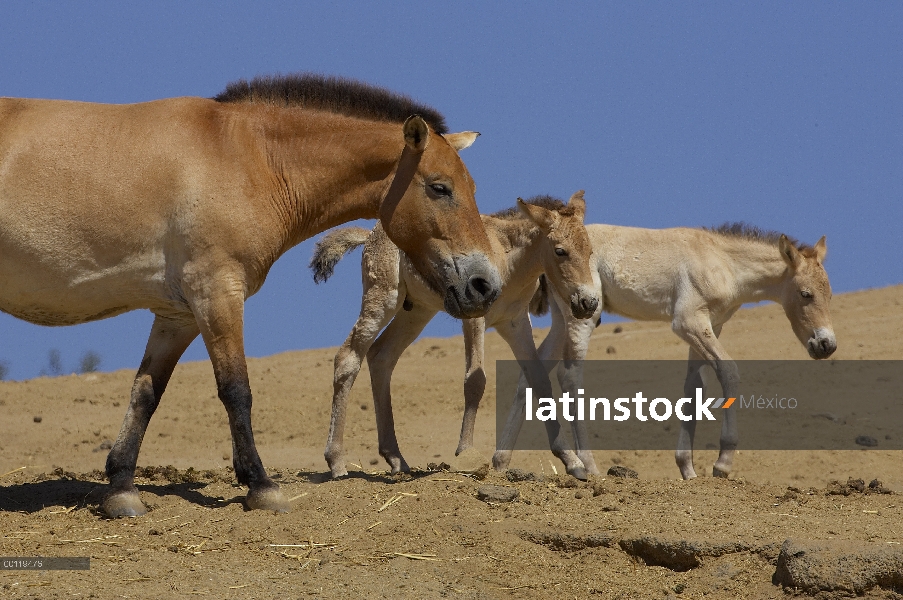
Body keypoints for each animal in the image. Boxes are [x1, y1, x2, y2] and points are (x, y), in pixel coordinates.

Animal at [0, 74, 502, 516]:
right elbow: (236, 390)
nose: (485, 284)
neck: (248, 157)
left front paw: (122, 490)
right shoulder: (217, 294)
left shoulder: (177, 315)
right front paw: (261, 486)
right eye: (440, 187)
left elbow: (145, 393)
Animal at [310, 195, 600, 480]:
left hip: (417, 311)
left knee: (382, 356)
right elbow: (475, 381)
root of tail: (372, 233)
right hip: (383, 298)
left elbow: (539, 381)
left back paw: (396, 458)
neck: (507, 261)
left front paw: (571, 461)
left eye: (590, 251)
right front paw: (466, 452)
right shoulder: (475, 319)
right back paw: (337, 462)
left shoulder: (515, 324)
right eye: (560, 251)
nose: (589, 303)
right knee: (348, 357)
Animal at [498, 223, 836, 480]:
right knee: (569, 377)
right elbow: (729, 371)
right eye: (805, 294)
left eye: (830, 294)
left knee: (531, 375)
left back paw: (502, 462)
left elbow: (694, 388)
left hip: (561, 321)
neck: (724, 261)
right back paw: (589, 466)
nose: (826, 345)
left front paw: (688, 470)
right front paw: (722, 464)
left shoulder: (710, 326)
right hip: (582, 315)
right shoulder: (688, 322)